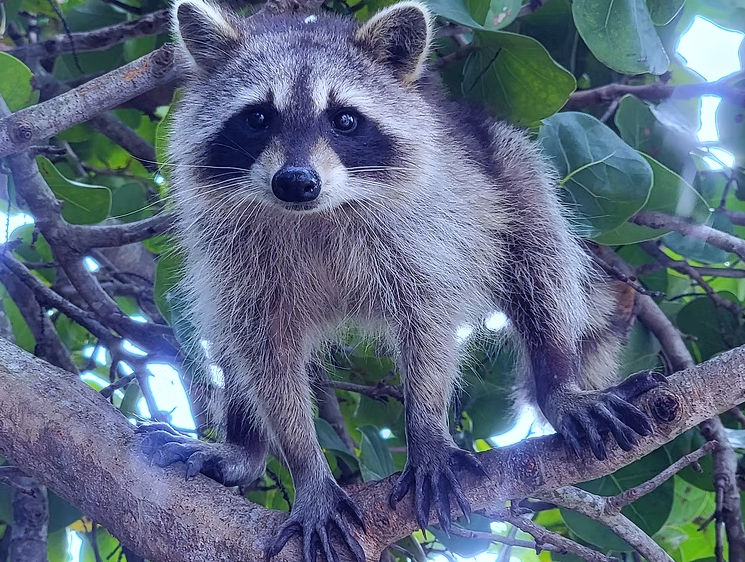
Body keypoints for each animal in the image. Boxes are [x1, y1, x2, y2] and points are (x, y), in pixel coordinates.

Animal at [139, 1, 662, 560]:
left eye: (344, 119)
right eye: (257, 117)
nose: (296, 182)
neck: (315, 214)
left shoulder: (423, 230)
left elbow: (428, 319)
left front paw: (427, 429)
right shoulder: (233, 255)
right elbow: (264, 352)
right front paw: (307, 468)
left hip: (511, 168)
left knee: (541, 265)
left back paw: (557, 381)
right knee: (228, 334)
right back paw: (245, 447)